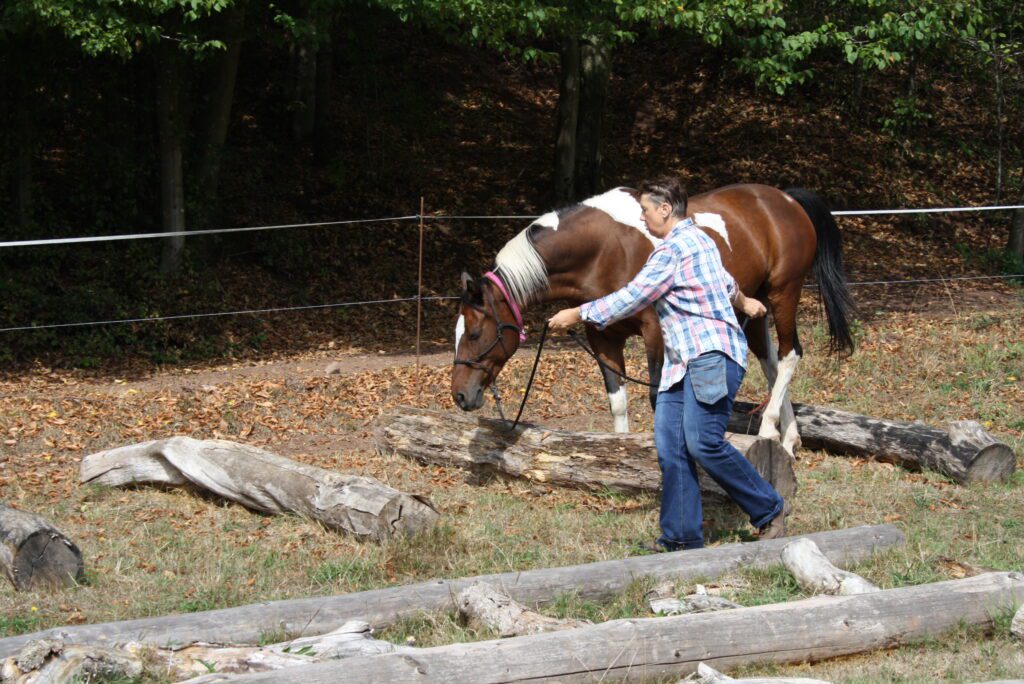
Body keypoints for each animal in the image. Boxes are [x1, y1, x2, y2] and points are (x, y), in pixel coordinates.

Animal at [451, 184, 854, 455]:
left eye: (474, 333)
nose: (460, 395)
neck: (603, 249)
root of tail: (786, 200)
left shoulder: (654, 332)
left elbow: (657, 397)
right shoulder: (603, 338)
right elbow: (618, 402)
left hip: (785, 292)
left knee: (789, 356)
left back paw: (770, 433)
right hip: (753, 306)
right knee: (771, 365)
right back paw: (789, 439)